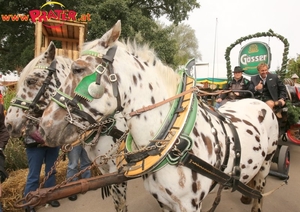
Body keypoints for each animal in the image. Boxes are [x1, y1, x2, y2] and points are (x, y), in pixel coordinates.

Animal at [37, 20, 278, 212]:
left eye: (77, 69)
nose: (43, 127)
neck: (175, 139)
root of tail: (259, 101)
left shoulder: (189, 206)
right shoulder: (164, 201)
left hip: (266, 165)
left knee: (259, 194)